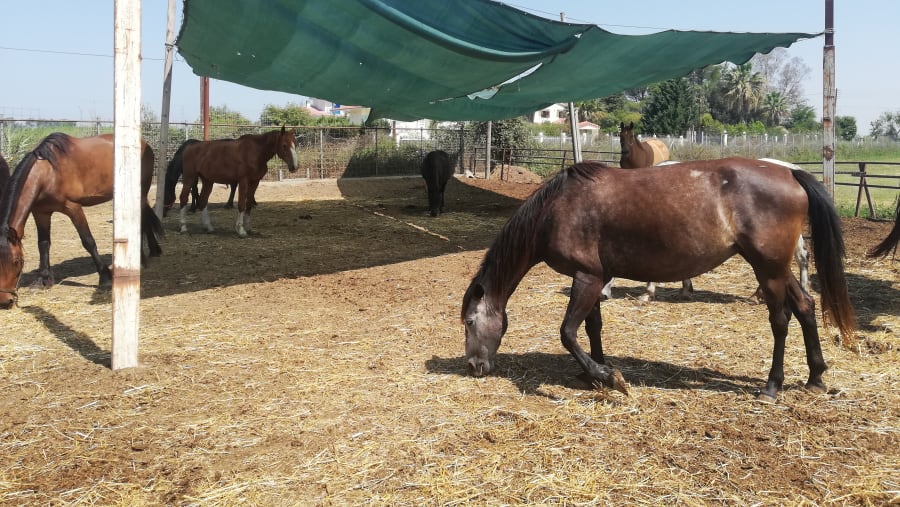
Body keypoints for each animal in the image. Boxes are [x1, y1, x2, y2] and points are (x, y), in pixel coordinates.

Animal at [0, 133, 163, 309]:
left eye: (17, 261)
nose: (5, 301)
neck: (48, 173)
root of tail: (145, 144)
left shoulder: (73, 208)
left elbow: (88, 241)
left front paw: (105, 277)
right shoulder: (41, 213)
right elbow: (43, 244)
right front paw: (43, 280)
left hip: (141, 192)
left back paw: (142, 258)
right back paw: (153, 250)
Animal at [164, 127, 297, 237]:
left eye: (295, 144)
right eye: (284, 145)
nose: (294, 167)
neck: (255, 152)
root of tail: (188, 148)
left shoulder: (255, 182)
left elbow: (249, 204)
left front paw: (249, 228)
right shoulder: (244, 181)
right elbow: (242, 204)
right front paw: (241, 230)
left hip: (208, 181)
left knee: (203, 200)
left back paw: (209, 227)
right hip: (189, 178)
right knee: (183, 198)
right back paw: (183, 227)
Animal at [462, 158, 855, 403]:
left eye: (469, 321)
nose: (473, 366)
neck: (557, 209)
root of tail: (790, 174)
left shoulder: (587, 277)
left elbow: (568, 333)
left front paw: (609, 377)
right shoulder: (591, 278)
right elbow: (591, 328)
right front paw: (595, 374)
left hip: (768, 268)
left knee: (780, 319)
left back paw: (772, 387)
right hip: (776, 267)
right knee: (805, 306)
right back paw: (815, 377)